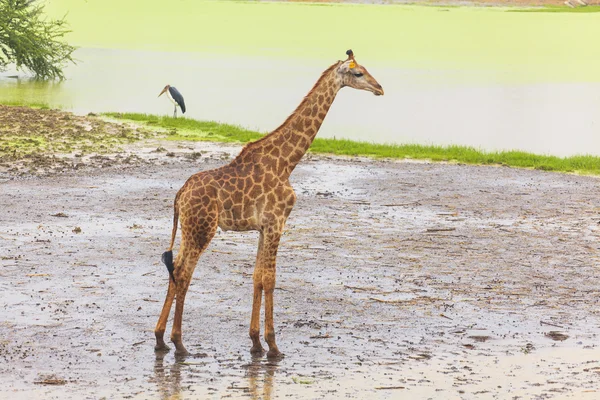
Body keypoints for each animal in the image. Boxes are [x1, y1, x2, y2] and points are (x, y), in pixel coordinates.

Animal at [155, 48, 384, 358]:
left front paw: (255, 342)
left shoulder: (264, 227)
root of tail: (179, 195)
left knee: (174, 268)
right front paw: (273, 345)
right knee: (183, 272)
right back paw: (179, 343)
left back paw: (160, 339)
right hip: (202, 229)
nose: (379, 88)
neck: (286, 162)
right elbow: (271, 279)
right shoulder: (277, 222)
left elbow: (257, 277)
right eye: (358, 73)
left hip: (188, 229)